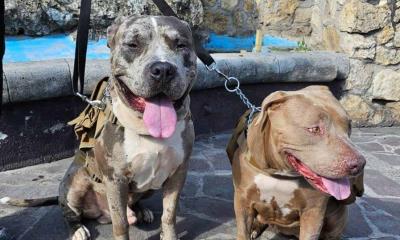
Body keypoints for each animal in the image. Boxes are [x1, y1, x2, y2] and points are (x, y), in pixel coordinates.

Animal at [1, 15, 198, 240]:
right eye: (133, 45)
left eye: (181, 45)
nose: (163, 69)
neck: (147, 129)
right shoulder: (115, 179)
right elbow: (121, 224)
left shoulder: (178, 173)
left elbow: (169, 214)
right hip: (75, 183)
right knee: (70, 212)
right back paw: (77, 229)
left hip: (149, 187)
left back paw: (141, 211)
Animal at [227, 86, 364, 240]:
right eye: (314, 129)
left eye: (349, 126)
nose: (360, 164)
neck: (280, 172)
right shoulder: (242, 201)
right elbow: (242, 231)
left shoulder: (313, 211)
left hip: (338, 214)